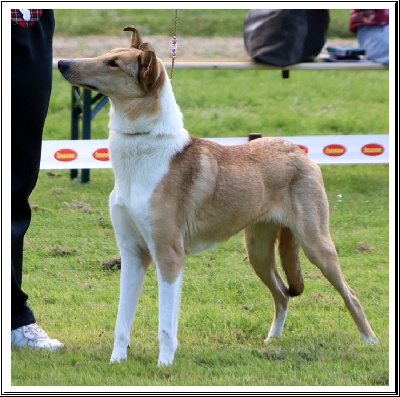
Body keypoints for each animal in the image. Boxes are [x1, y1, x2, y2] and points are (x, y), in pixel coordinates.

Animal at [57, 26, 376, 364]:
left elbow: (165, 323)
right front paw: (117, 362)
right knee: (281, 292)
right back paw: (272, 340)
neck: (142, 157)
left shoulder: (169, 253)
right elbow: (122, 320)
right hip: (258, 250)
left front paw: (164, 365)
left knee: (349, 294)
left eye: (114, 64)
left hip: (316, 244)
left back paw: (369, 341)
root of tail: (299, 151)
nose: (62, 63)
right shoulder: (132, 252)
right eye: (106, 55)